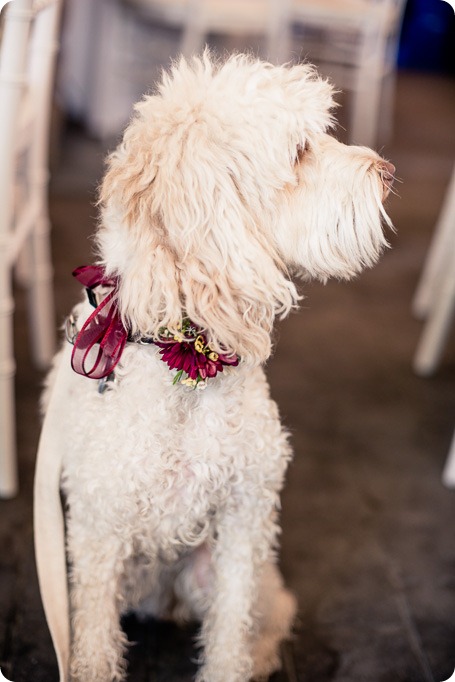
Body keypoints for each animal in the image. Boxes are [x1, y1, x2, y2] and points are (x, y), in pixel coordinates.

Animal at [33, 53, 394, 680]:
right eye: (300, 151)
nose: (389, 173)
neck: (186, 364)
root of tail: (166, 601)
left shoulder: (245, 522)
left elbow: (229, 632)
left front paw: (233, 664)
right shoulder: (98, 537)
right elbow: (95, 645)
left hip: (227, 571)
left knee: (268, 614)